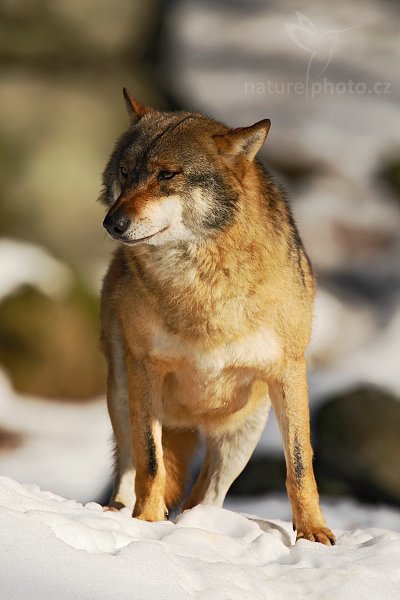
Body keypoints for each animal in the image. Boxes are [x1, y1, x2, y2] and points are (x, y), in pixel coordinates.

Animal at [99, 88, 334, 544]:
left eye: (167, 175)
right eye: (125, 172)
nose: (112, 223)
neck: (202, 286)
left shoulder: (289, 371)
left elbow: (300, 465)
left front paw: (314, 533)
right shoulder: (145, 368)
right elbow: (150, 460)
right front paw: (147, 524)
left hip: (241, 432)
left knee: (203, 496)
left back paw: (202, 528)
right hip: (121, 392)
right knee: (129, 468)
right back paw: (117, 514)